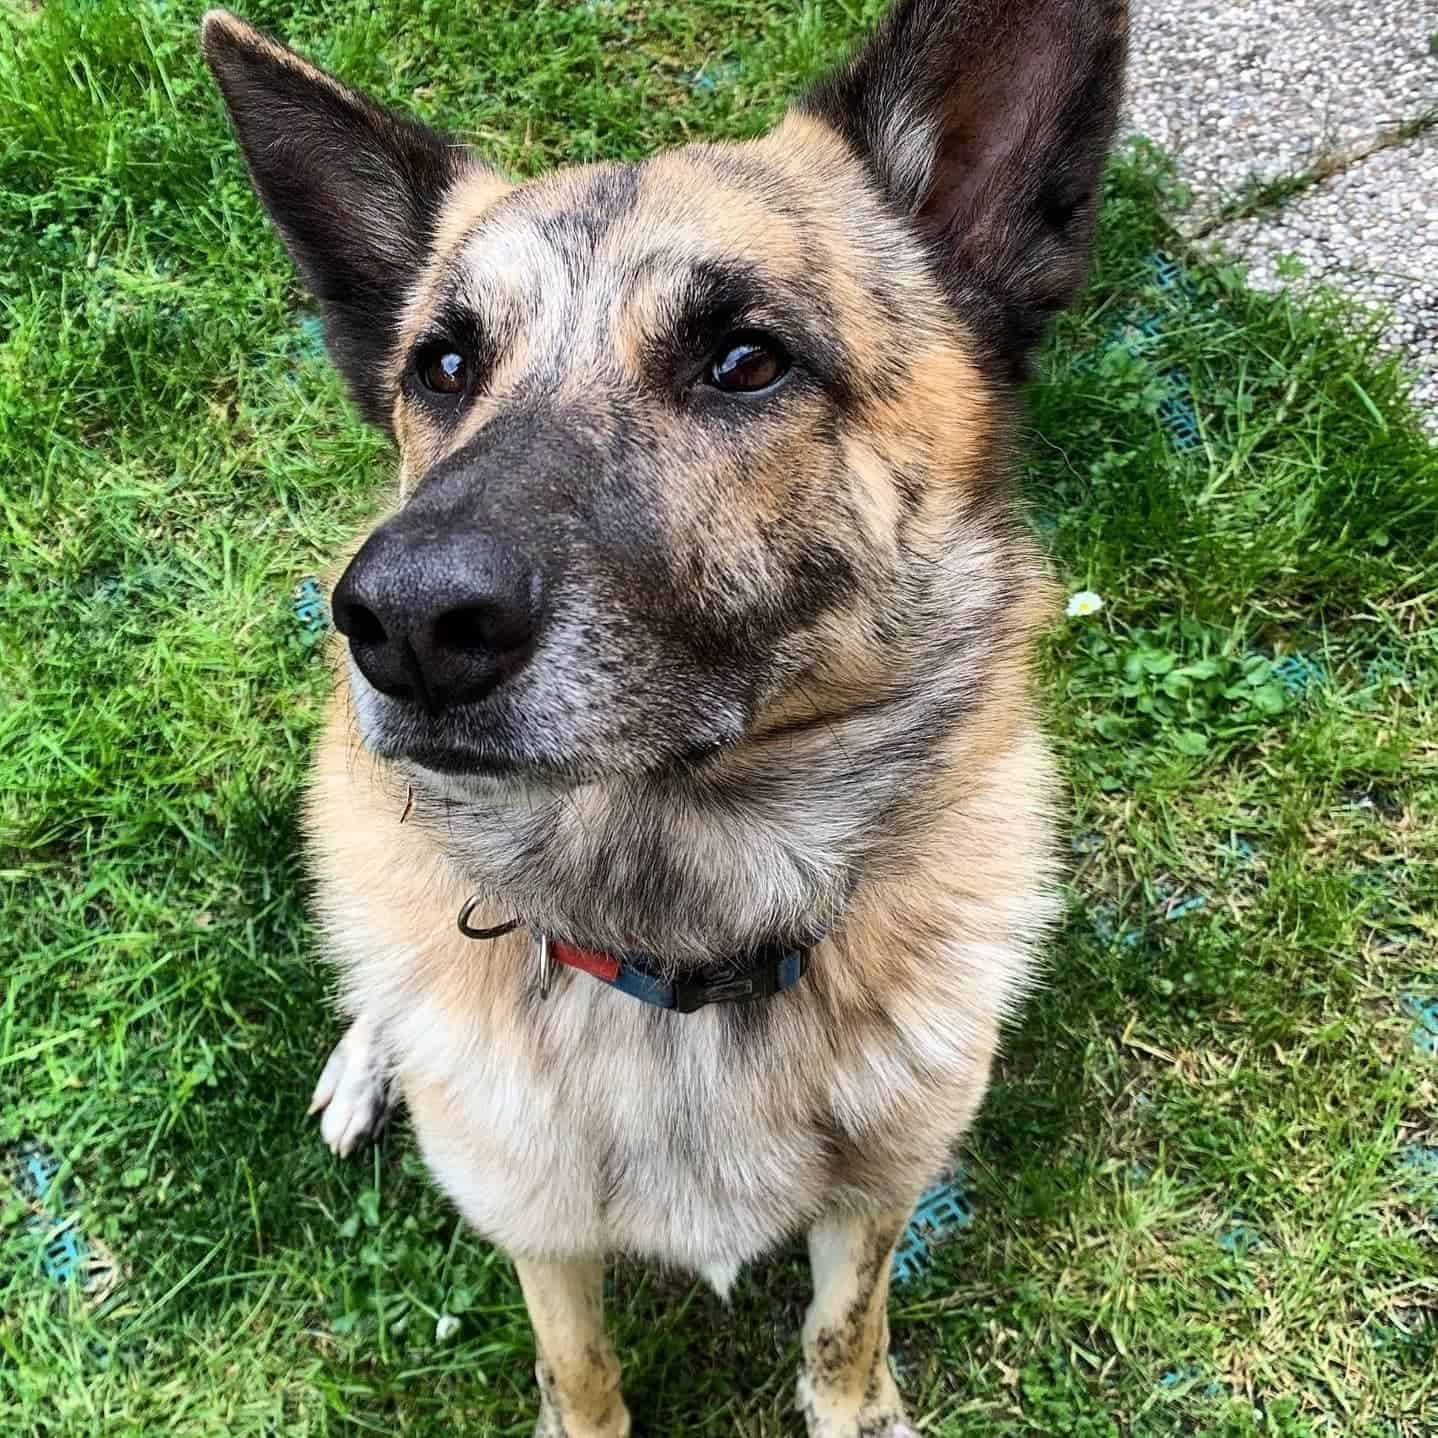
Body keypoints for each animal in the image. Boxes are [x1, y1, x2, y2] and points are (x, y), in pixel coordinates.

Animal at [202, 2, 1121, 1426]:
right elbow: (578, 1366)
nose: (402, 625)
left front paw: (855, 1406)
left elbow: (842, 1332)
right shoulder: (540, 1236)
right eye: (443, 365)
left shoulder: (877, 1197)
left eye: (744, 360)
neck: (680, 956)